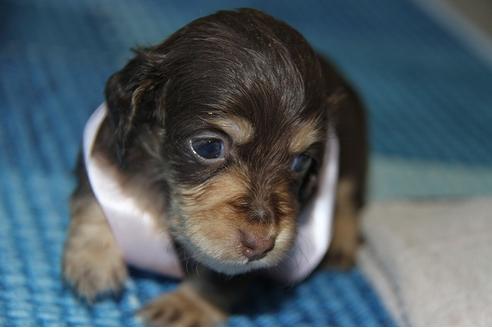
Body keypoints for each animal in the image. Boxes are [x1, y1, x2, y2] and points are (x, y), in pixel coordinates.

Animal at [62, 7, 366, 326]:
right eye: (209, 146)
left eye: (301, 161)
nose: (261, 244)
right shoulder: (104, 151)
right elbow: (90, 200)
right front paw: (93, 259)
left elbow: (220, 276)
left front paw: (187, 305)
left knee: (349, 198)